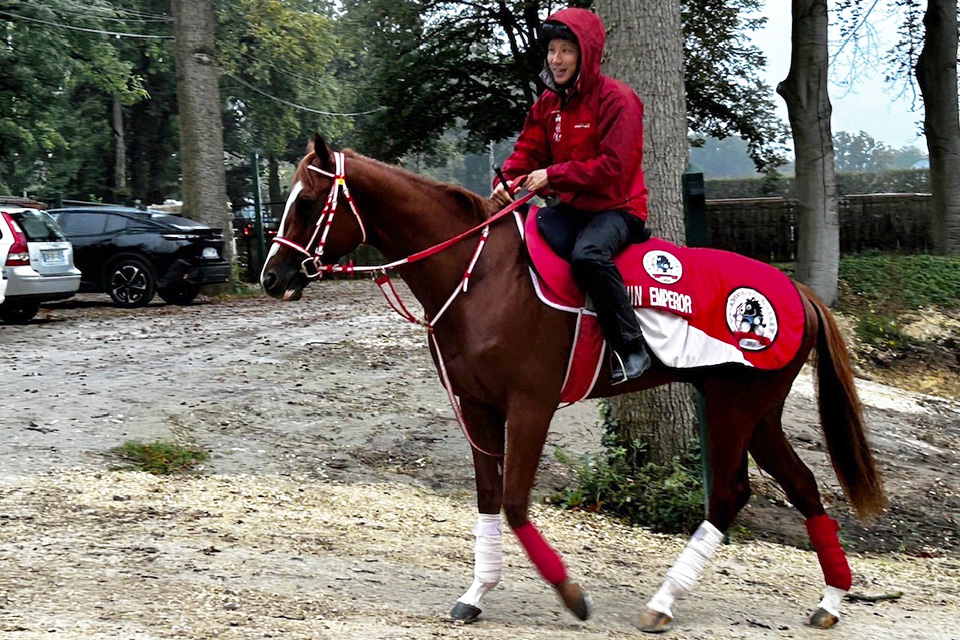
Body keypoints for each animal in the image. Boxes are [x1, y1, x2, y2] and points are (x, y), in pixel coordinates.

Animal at [260, 134, 887, 633]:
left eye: (308, 202)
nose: (271, 276)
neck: (479, 276)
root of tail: (796, 291)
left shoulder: (529, 407)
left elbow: (515, 503)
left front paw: (569, 593)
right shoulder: (477, 407)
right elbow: (489, 499)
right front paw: (476, 591)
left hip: (735, 409)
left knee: (731, 496)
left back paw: (664, 601)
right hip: (758, 416)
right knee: (803, 485)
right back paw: (831, 598)